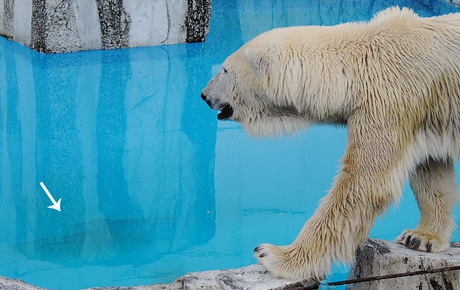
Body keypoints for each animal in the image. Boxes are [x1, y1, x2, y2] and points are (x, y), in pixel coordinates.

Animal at [202, 7, 460, 280]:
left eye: (225, 70)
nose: (204, 95)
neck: (357, 67)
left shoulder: (388, 100)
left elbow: (362, 183)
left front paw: (275, 255)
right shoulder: (425, 114)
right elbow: (431, 170)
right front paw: (421, 237)